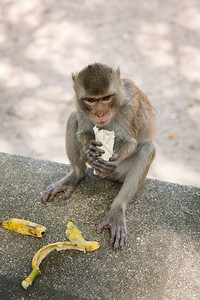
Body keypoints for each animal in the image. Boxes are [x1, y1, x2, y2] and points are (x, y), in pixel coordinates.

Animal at [41, 62, 155, 251]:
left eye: (106, 98)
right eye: (91, 100)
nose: (100, 113)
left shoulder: (131, 107)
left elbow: (131, 143)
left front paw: (111, 160)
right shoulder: (80, 106)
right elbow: (82, 131)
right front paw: (90, 149)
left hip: (120, 173)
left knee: (148, 148)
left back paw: (117, 209)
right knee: (73, 117)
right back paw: (76, 175)